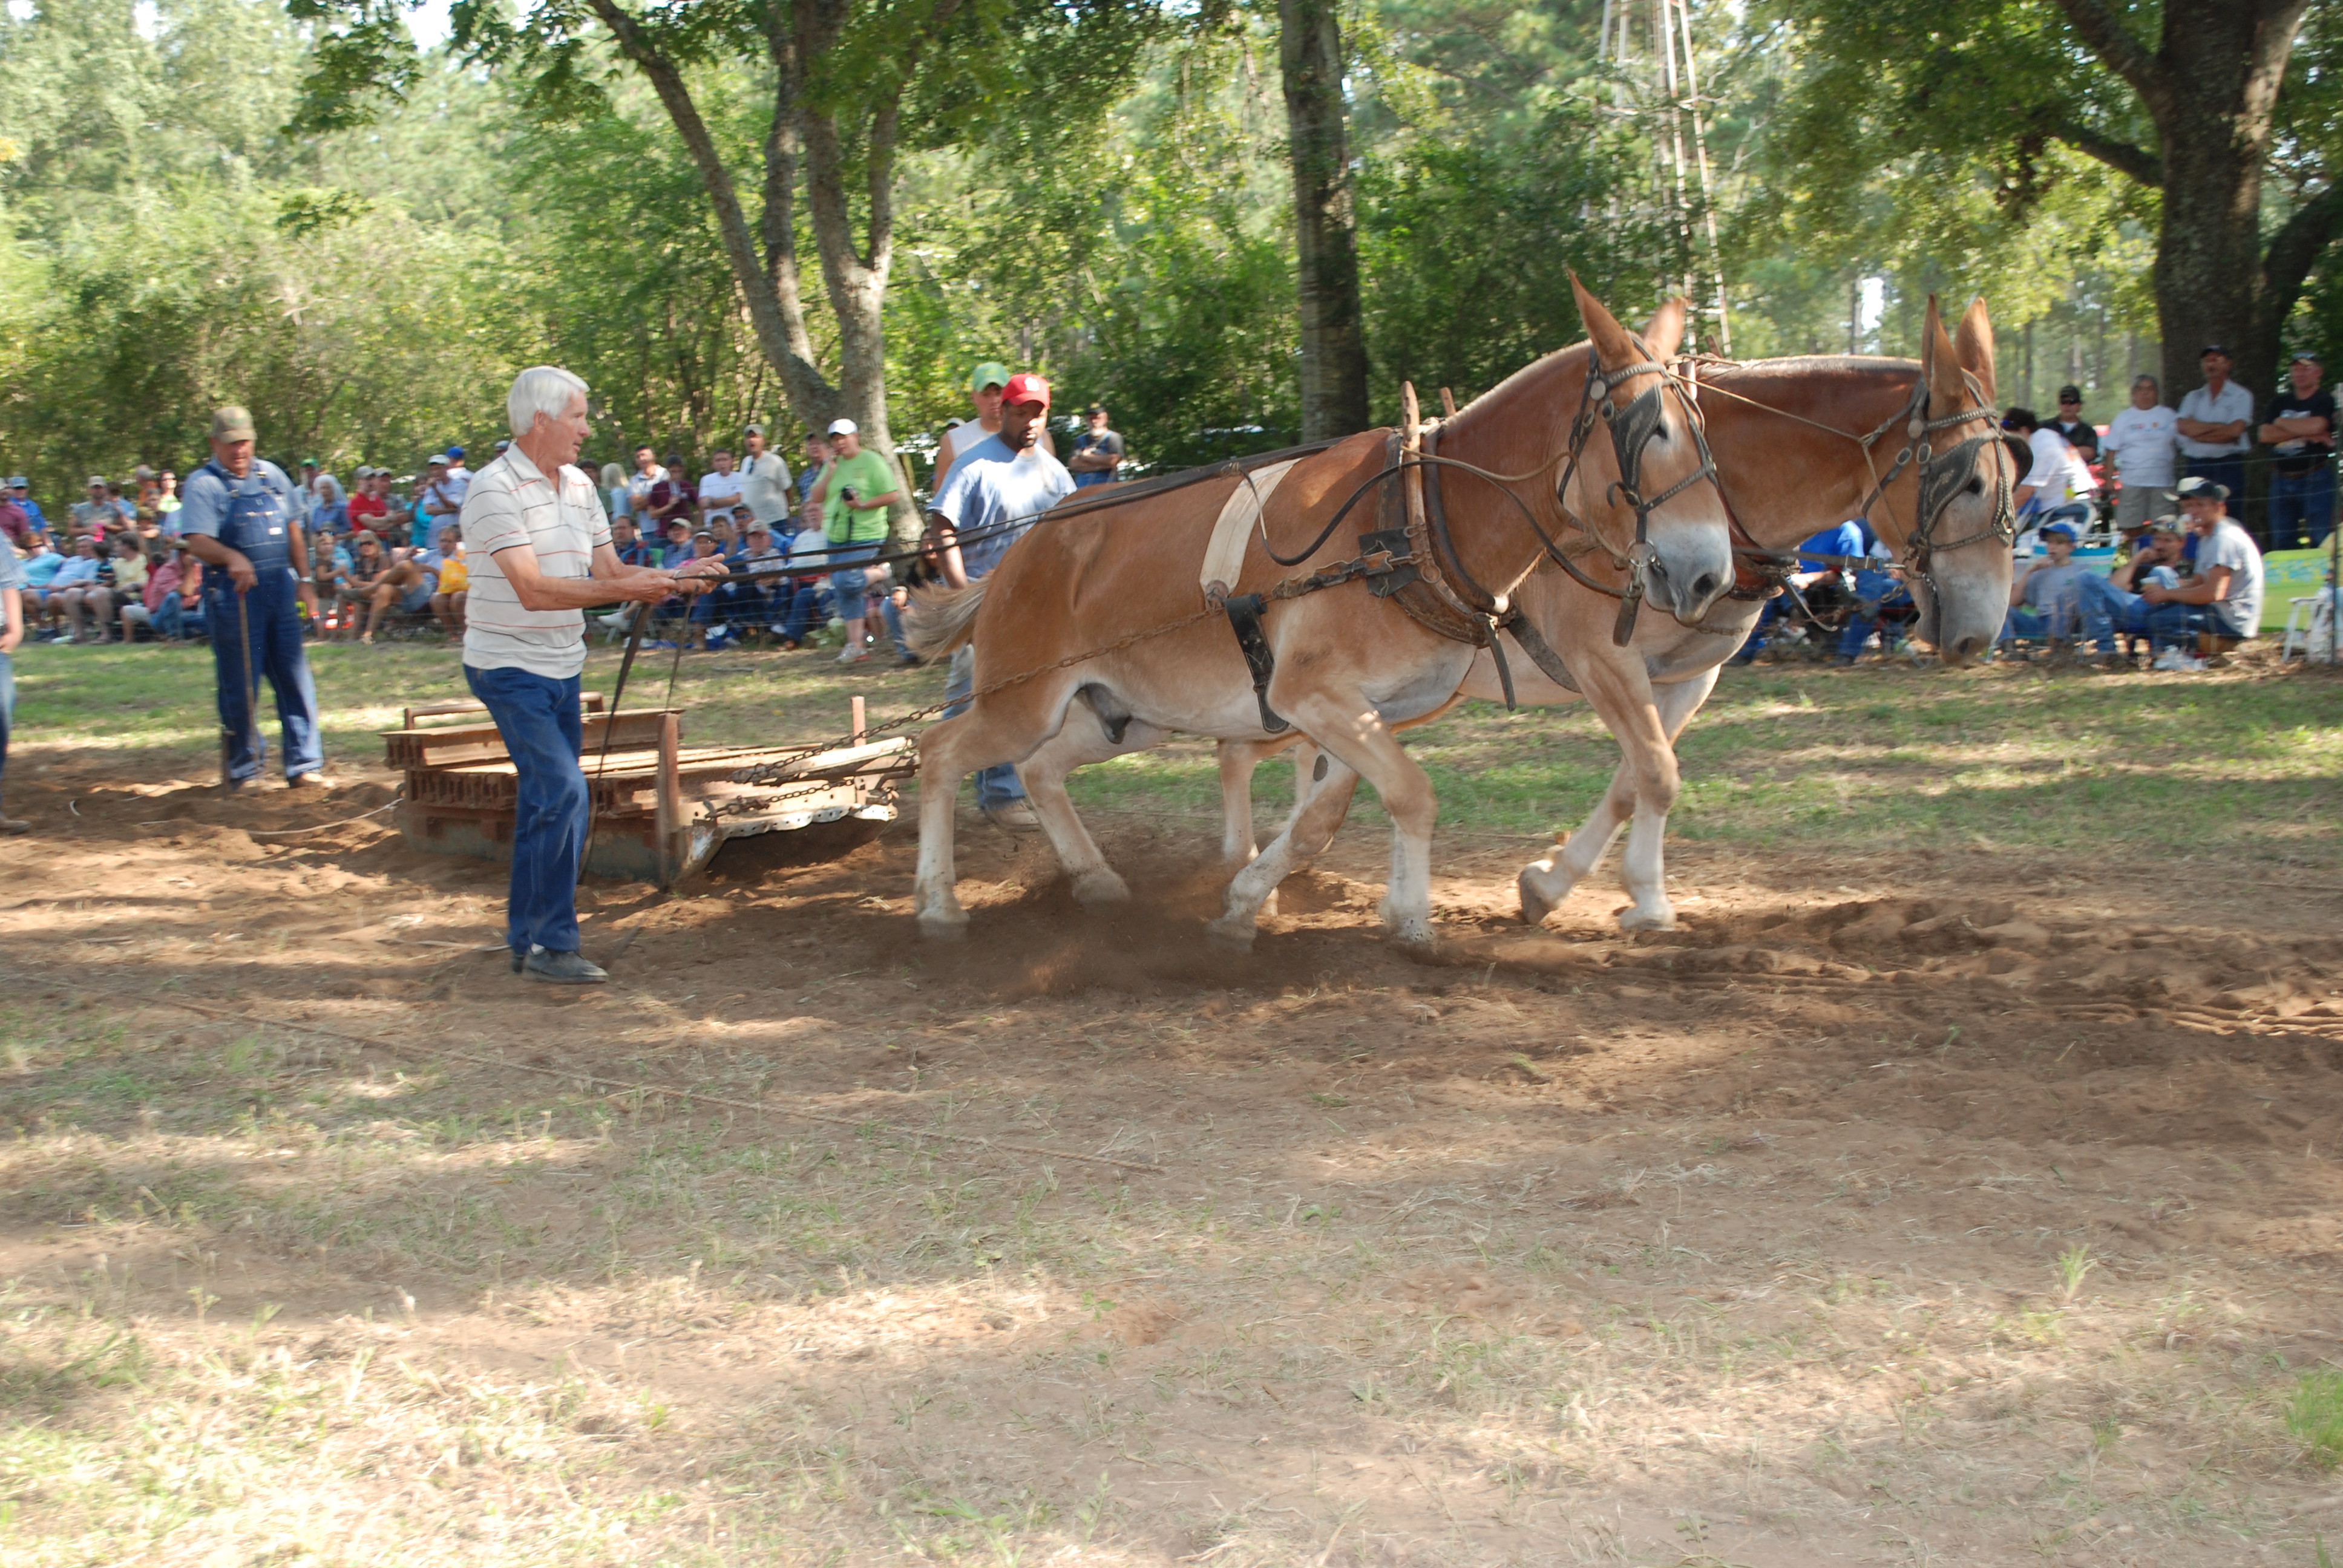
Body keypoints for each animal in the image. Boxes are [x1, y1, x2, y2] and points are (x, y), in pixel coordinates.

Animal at [906, 279, 1738, 950]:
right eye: (1648, 433)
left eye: (1706, 431)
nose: (1708, 574)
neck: (1411, 521)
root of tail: (1024, 547)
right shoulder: (1310, 694)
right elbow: (1409, 794)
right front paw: (1385, 917)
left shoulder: (1368, 709)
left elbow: (1323, 818)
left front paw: (1271, 904)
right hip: (1024, 697)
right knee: (941, 752)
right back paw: (940, 906)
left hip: (1120, 712)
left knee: (1039, 769)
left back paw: (1096, 880)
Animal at [1014, 296, 2017, 934]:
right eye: (1970, 480)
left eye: (2017, 476)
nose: (1977, 633)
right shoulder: (1603, 659)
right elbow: (1654, 772)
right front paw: (1639, 901)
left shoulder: (1686, 676)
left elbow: (1641, 776)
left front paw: (1560, 886)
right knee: (1230, 751)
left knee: (1253, 757)